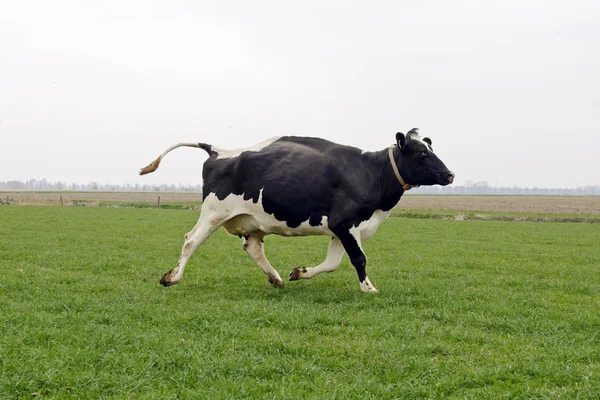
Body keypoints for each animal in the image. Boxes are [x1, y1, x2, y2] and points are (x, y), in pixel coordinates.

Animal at [138, 129, 452, 294]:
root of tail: (219, 150)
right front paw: (368, 288)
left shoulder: (342, 229)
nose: (450, 174)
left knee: (253, 248)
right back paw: (172, 277)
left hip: (252, 221)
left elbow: (332, 263)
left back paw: (275, 278)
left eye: (430, 148)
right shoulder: (344, 223)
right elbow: (359, 259)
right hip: (214, 212)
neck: (369, 172)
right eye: (421, 153)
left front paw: (299, 273)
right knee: (191, 240)